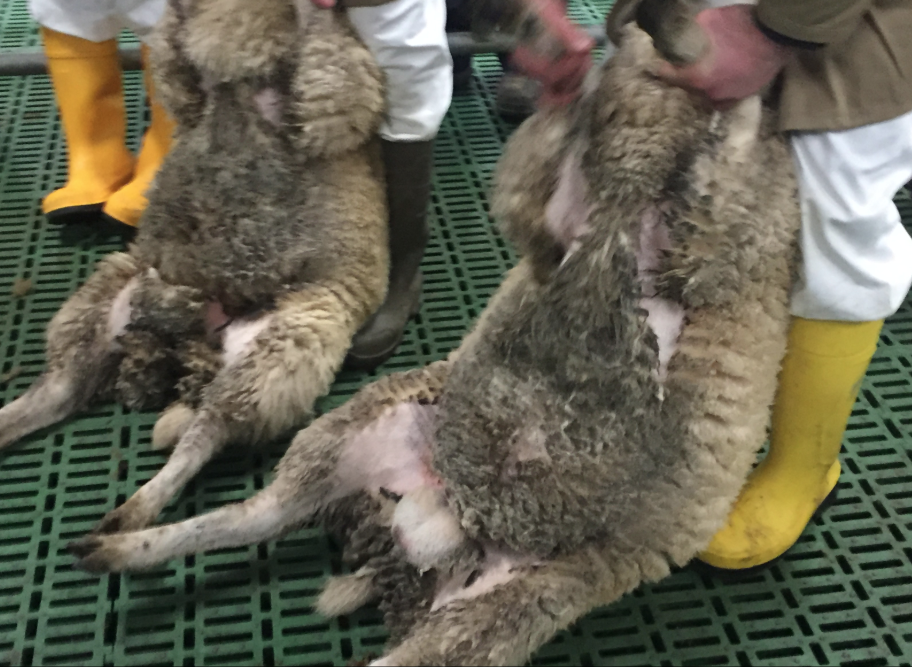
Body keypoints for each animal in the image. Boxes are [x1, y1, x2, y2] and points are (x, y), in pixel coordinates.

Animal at [0, 0, 389, 535]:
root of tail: (184, 342)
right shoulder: (184, 87)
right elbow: (171, 61)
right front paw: (182, 16)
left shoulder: (335, 93)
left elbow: (331, 74)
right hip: (99, 302)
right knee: (58, 390)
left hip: (283, 349)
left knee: (204, 433)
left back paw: (127, 517)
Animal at [67, 5, 802, 665]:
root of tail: (440, 522)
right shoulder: (572, 216)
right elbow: (562, 145)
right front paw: (577, 52)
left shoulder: (725, 234)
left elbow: (727, 151)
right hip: (347, 432)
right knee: (256, 511)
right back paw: (116, 537)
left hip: (503, 610)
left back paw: (115, 539)